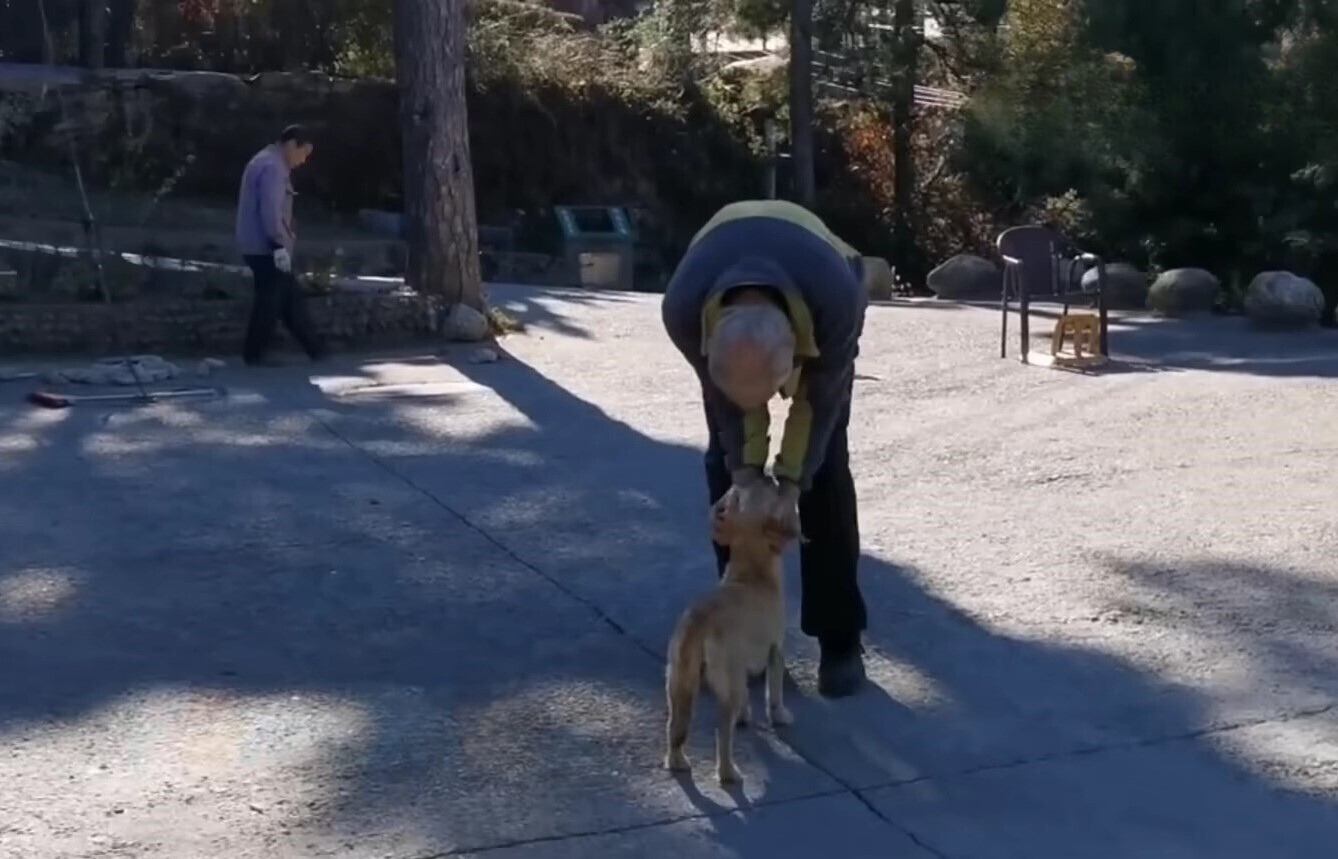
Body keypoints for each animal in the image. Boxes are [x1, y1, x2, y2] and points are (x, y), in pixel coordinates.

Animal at [660, 479, 792, 786]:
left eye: (735, 495)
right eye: (768, 492)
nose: (769, 477)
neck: (753, 573)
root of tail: (698, 620)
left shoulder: (740, 668)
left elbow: (746, 695)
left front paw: (745, 716)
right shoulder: (775, 651)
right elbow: (774, 692)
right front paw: (780, 715)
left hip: (678, 679)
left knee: (675, 725)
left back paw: (677, 762)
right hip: (720, 684)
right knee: (722, 732)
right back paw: (728, 772)